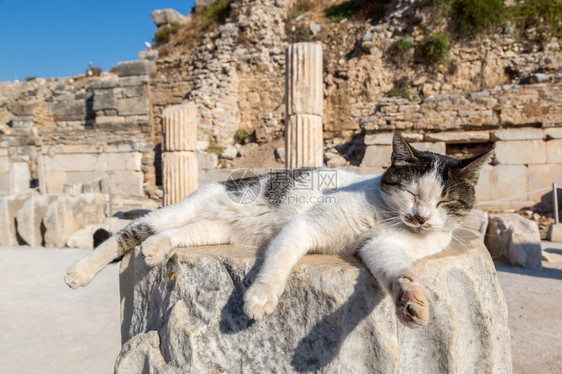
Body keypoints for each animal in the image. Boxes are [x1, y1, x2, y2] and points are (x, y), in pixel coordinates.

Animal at [63, 131, 488, 328]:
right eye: (413, 192)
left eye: (445, 201)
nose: (421, 217)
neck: (387, 217)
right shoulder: (306, 225)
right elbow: (279, 260)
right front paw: (261, 298)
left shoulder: (382, 248)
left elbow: (398, 272)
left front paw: (412, 302)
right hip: (180, 209)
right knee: (130, 230)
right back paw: (79, 272)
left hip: (211, 230)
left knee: (170, 235)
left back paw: (155, 249)